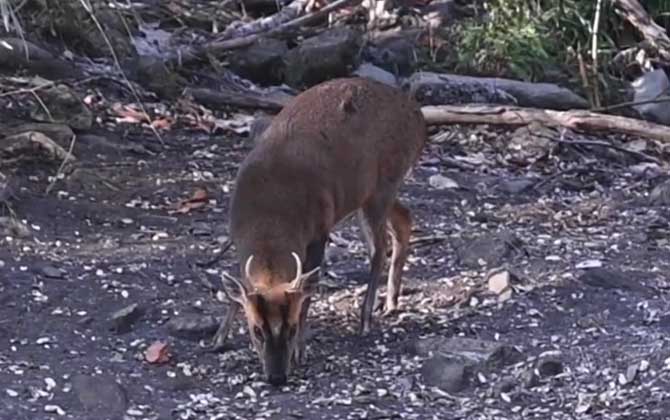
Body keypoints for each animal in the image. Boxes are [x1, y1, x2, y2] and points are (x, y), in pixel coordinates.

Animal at [217, 77, 426, 386]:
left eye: (291, 328)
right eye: (256, 330)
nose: (277, 376)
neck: (269, 217)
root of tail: (418, 116)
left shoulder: (318, 231)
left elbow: (308, 291)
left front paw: (300, 352)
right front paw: (219, 336)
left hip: (383, 183)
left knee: (379, 247)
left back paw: (366, 317)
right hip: (371, 192)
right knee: (404, 219)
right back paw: (390, 301)